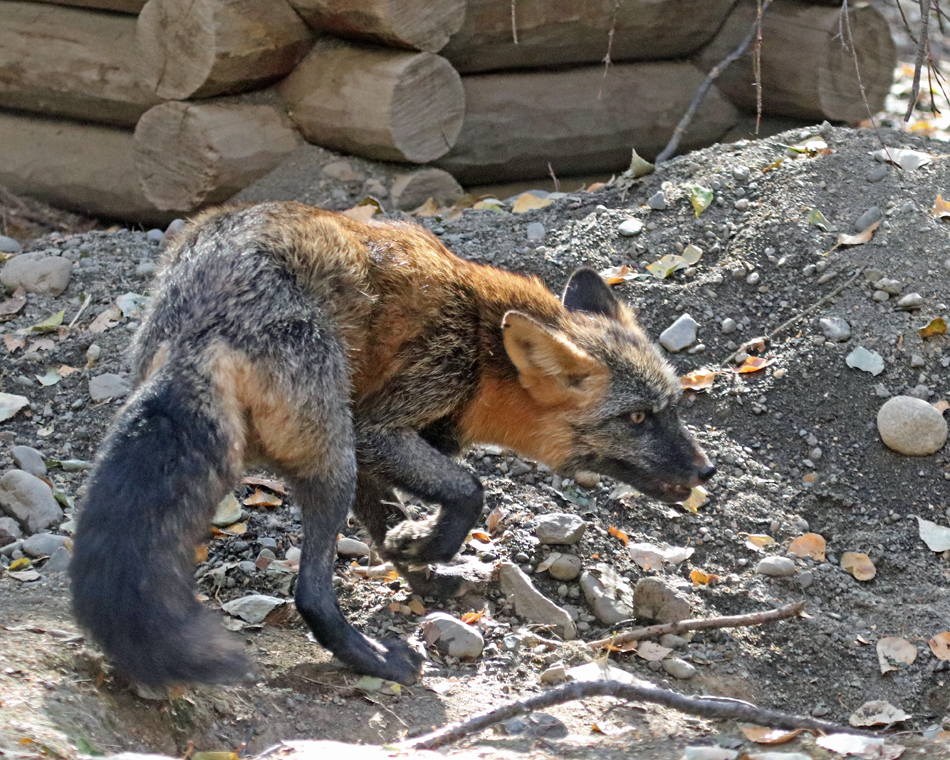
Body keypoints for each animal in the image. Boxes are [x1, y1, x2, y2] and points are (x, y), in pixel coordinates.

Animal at [70, 201, 714, 689]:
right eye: (636, 417)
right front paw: (425, 546)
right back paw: (375, 660)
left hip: (327, 453)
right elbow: (469, 489)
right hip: (333, 460)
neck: (482, 344)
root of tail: (204, 320)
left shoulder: (375, 444)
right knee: (311, 593)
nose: (706, 471)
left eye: (672, 408)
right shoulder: (381, 422)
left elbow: (386, 526)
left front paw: (421, 563)